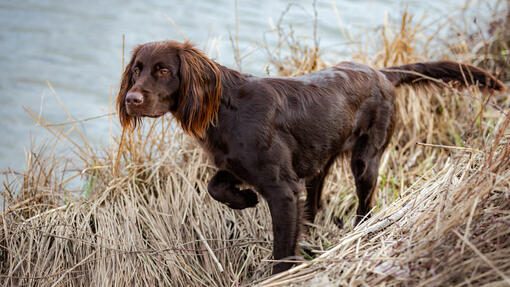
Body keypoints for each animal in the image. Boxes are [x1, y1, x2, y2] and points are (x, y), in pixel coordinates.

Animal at [117, 40, 504, 274]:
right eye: (136, 69)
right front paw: (244, 199)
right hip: (321, 162)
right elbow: (216, 186)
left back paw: (357, 232)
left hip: (366, 160)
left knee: (365, 205)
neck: (227, 109)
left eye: (163, 70)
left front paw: (278, 274)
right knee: (316, 203)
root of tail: (380, 72)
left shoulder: (283, 190)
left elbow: (281, 251)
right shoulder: (239, 166)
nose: (131, 99)